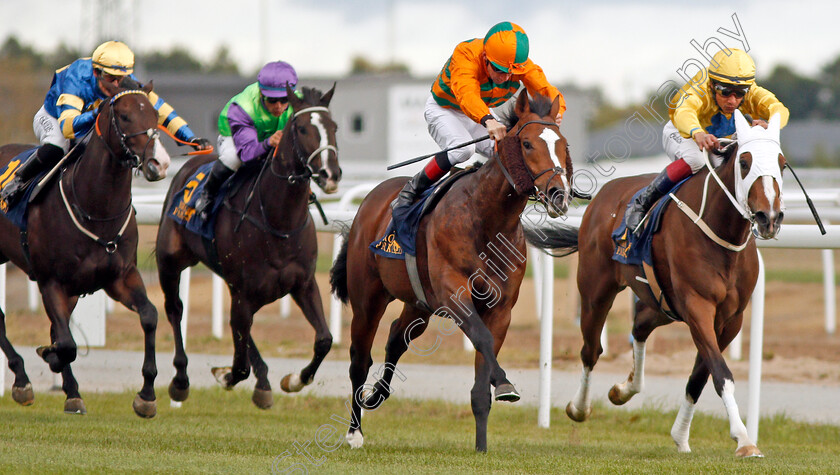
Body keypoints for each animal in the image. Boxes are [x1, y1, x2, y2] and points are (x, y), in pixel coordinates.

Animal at [0, 82, 169, 416]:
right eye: (125, 116)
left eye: (155, 115)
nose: (158, 163)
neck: (96, 208)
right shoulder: (51, 281)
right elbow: (65, 343)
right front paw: (50, 357)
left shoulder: (120, 277)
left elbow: (149, 315)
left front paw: (146, 395)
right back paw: (22, 380)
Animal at [156, 85, 340, 410]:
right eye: (303, 128)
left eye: (334, 127)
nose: (331, 174)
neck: (278, 221)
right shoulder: (243, 290)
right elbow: (239, 363)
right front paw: (225, 375)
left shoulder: (303, 283)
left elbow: (324, 339)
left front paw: (293, 380)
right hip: (170, 260)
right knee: (175, 310)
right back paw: (180, 381)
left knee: (241, 328)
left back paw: (263, 381)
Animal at [332, 90, 576, 454]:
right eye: (528, 144)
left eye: (563, 145)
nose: (559, 195)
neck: (487, 220)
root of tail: (369, 202)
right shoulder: (455, 295)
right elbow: (482, 339)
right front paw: (505, 383)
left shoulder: (500, 307)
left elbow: (483, 369)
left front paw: (482, 445)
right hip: (368, 299)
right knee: (359, 360)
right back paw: (354, 432)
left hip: (418, 303)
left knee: (397, 338)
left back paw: (377, 395)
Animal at [528, 110, 784, 458]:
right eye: (745, 162)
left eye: (782, 163)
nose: (769, 217)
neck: (720, 233)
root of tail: (604, 195)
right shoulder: (697, 306)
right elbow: (721, 374)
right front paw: (744, 440)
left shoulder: (730, 319)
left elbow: (700, 376)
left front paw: (681, 435)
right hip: (597, 290)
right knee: (591, 349)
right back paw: (579, 408)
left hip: (662, 302)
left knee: (639, 326)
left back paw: (625, 389)